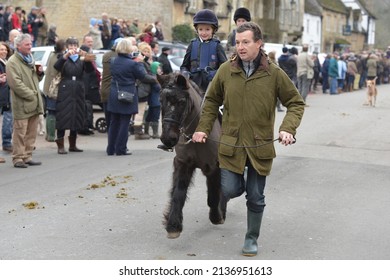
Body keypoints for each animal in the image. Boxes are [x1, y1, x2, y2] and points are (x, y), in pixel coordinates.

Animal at [158, 72, 227, 238]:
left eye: (182, 101)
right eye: (161, 100)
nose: (168, 138)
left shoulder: (214, 167)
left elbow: (213, 196)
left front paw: (216, 216)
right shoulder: (183, 163)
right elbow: (178, 193)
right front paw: (173, 225)